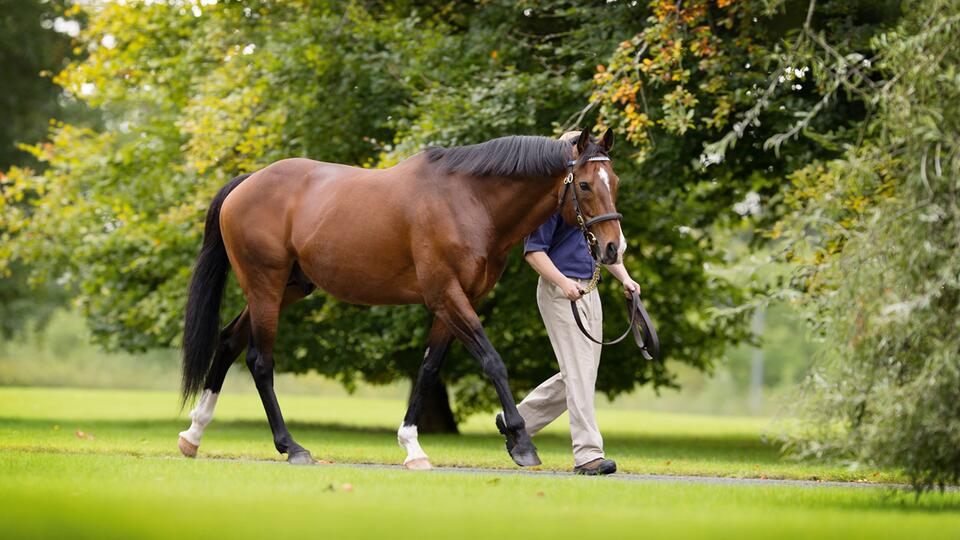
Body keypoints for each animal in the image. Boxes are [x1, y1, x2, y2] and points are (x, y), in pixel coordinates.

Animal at [176, 126, 628, 468]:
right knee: (260, 361)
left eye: (616, 183)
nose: (613, 249)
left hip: (287, 287)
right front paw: (520, 442)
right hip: (266, 285)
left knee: (229, 341)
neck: (469, 201)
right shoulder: (447, 296)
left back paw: (193, 434)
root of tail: (247, 183)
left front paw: (412, 447)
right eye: (584, 184)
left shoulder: (456, 302)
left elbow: (428, 370)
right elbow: (492, 361)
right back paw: (291, 446)